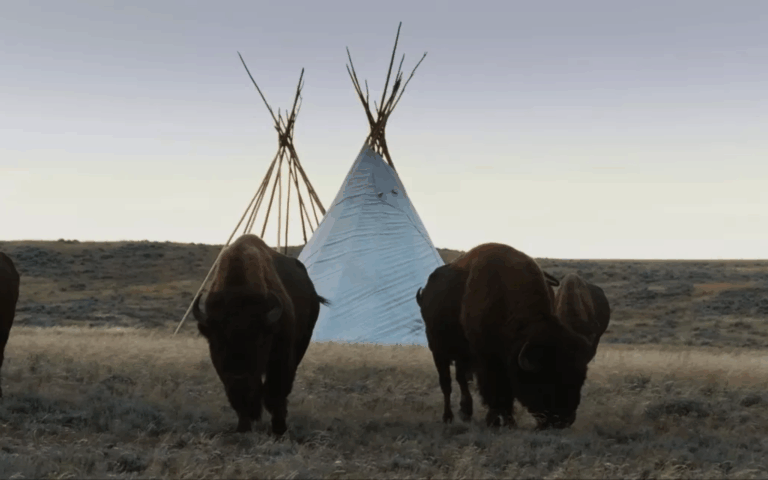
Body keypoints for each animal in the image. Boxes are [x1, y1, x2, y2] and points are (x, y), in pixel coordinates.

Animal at [192, 234, 329, 435]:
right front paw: (243, 428)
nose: (239, 381)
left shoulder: (281, 357)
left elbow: (275, 391)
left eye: (258, 341)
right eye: (217, 342)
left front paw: (279, 430)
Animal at [457, 243, 594, 429]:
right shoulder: (486, 359)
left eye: (581, 380)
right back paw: (465, 413)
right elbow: (494, 391)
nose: (564, 421)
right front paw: (495, 421)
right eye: (546, 382)